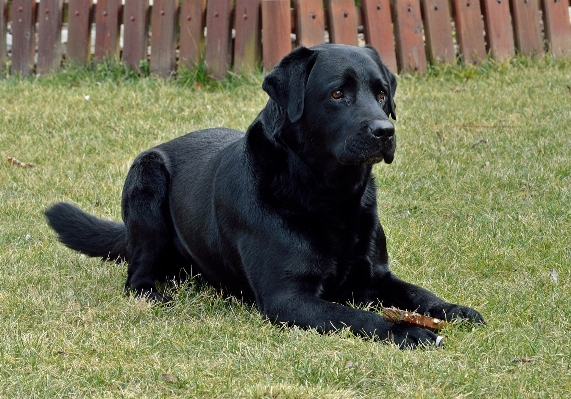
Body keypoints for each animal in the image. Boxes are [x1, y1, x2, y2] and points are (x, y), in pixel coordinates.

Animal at [44, 43, 484, 348]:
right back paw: (155, 293)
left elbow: (419, 294)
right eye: (337, 94)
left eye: (380, 94)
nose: (384, 131)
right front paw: (409, 332)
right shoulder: (287, 298)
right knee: (136, 276)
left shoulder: (375, 277)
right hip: (146, 179)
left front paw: (453, 310)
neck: (330, 196)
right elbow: (357, 318)